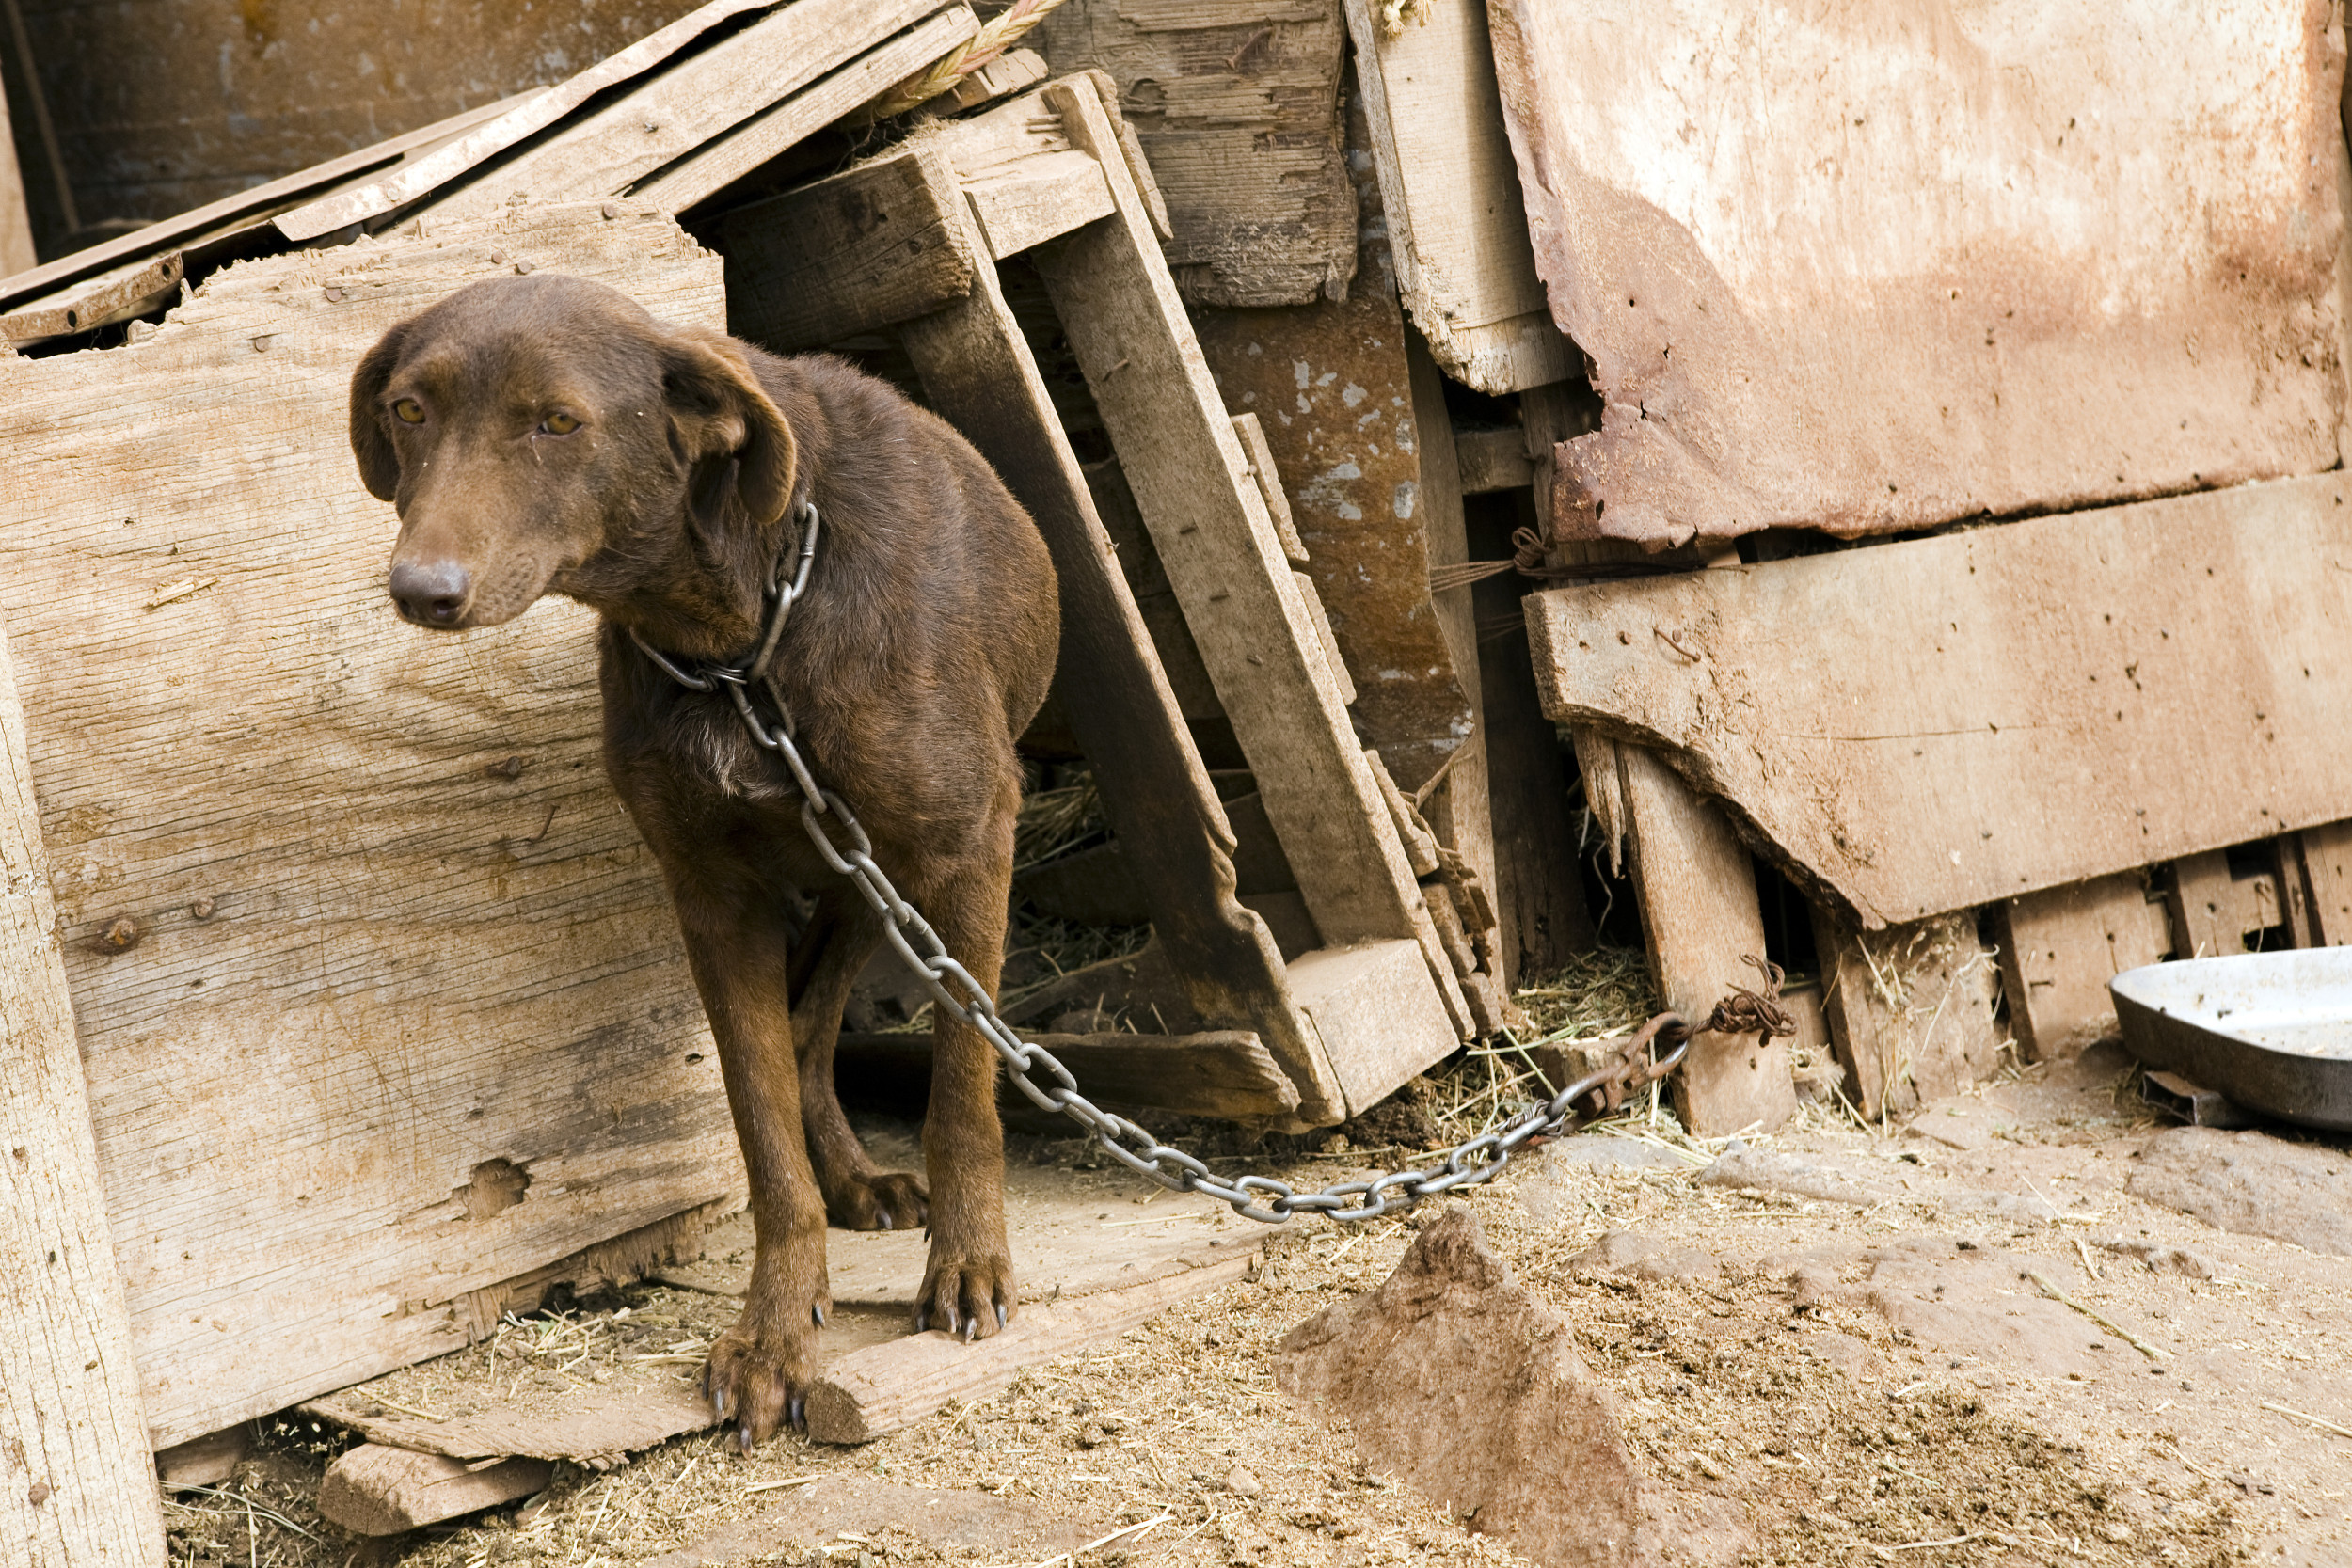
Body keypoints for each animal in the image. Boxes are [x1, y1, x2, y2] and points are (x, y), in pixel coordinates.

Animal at [350, 272, 1068, 1448]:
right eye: (410, 410)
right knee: (808, 1025)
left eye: (558, 422)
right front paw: (777, 1333)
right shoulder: (712, 897)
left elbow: (962, 1089)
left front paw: (967, 1265)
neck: (737, 637)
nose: (422, 587)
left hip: (878, 877)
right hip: (850, 875)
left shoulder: (965, 849)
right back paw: (850, 1180)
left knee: (824, 1015)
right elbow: (763, 1131)